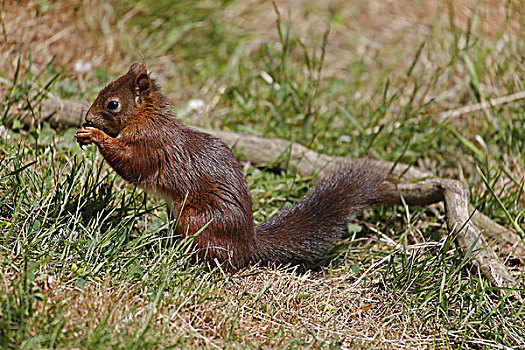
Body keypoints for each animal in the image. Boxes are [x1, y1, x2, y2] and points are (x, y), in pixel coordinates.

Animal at [75, 63, 386, 270]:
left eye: (112, 104)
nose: (88, 117)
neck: (147, 119)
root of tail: (248, 244)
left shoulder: (151, 146)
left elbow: (129, 163)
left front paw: (94, 134)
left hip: (197, 221)